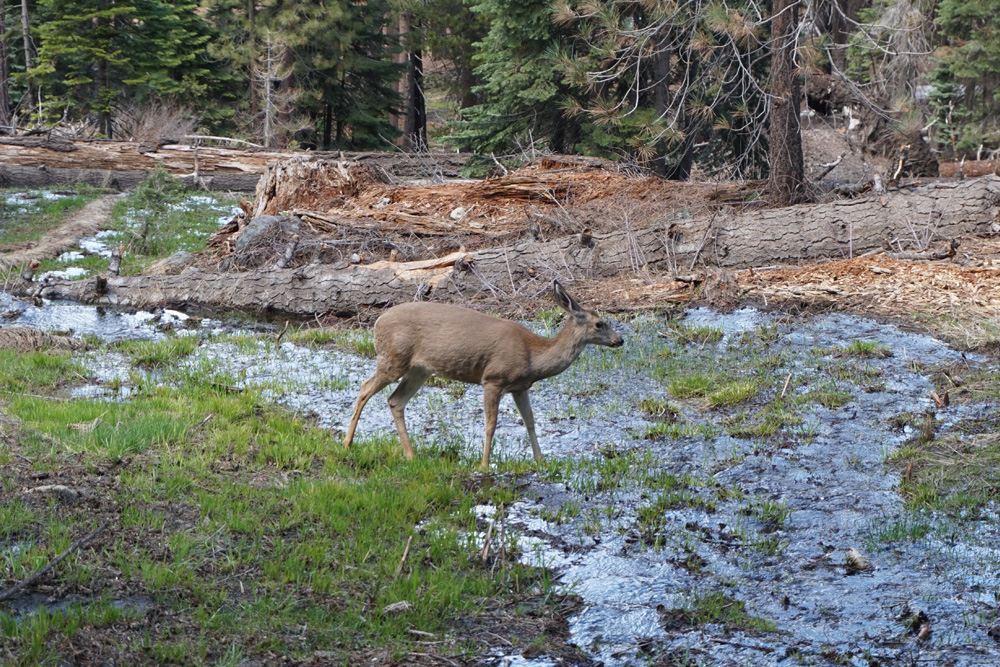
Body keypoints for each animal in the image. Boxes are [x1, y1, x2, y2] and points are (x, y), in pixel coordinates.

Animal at [341, 281, 624, 470]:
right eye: (599, 323)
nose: (620, 340)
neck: (532, 356)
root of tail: (377, 322)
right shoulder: (493, 379)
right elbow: (490, 424)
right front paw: (484, 465)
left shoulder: (520, 386)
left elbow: (530, 421)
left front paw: (541, 459)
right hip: (393, 359)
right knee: (365, 388)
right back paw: (347, 443)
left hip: (420, 369)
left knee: (395, 400)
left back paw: (411, 455)